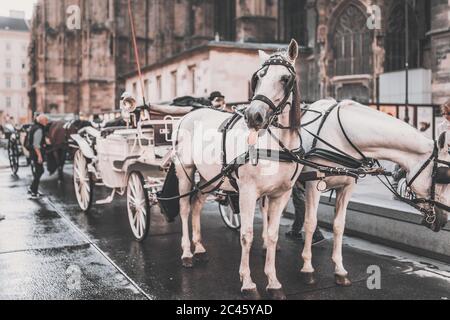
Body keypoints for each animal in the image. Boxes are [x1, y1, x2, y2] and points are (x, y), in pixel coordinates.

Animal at [174, 40, 304, 300]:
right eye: (259, 77)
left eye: (285, 78)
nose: (254, 116)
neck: (276, 145)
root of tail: (188, 114)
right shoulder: (247, 192)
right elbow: (246, 235)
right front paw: (248, 282)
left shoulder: (281, 194)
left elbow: (272, 235)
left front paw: (274, 282)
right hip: (186, 172)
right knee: (184, 208)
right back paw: (187, 253)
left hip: (210, 178)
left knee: (197, 204)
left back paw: (199, 248)